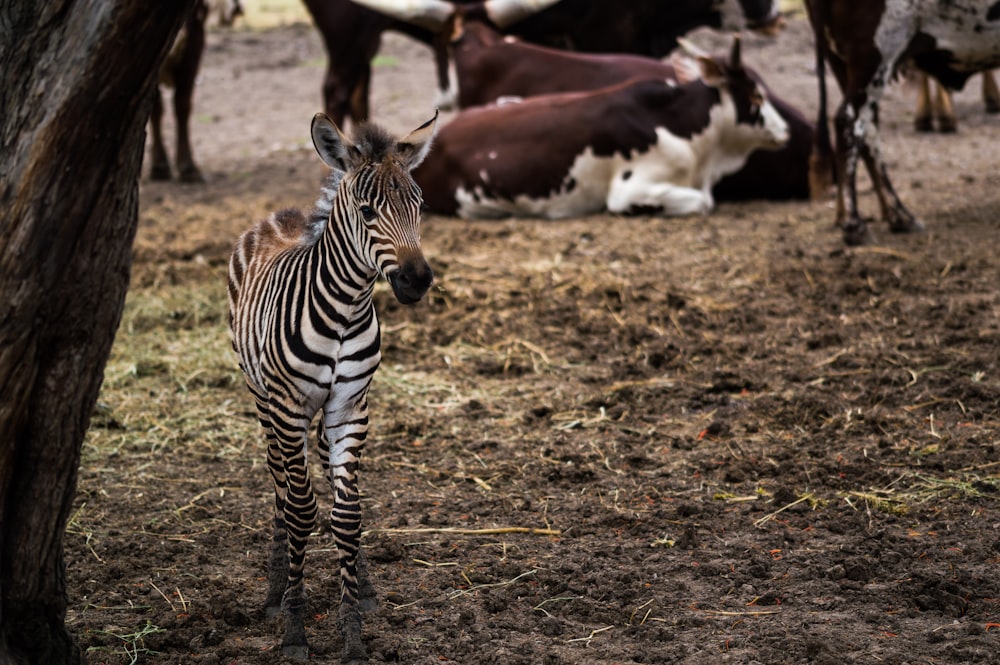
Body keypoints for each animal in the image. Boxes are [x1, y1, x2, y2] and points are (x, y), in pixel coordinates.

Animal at [231, 110, 442, 660]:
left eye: (420, 206)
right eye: (368, 211)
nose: (417, 281)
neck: (345, 309)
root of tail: (282, 215)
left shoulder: (351, 406)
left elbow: (347, 513)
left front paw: (353, 633)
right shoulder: (287, 406)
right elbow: (301, 509)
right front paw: (293, 626)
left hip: (322, 416)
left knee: (325, 476)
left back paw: (360, 584)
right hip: (263, 399)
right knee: (280, 485)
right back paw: (274, 590)